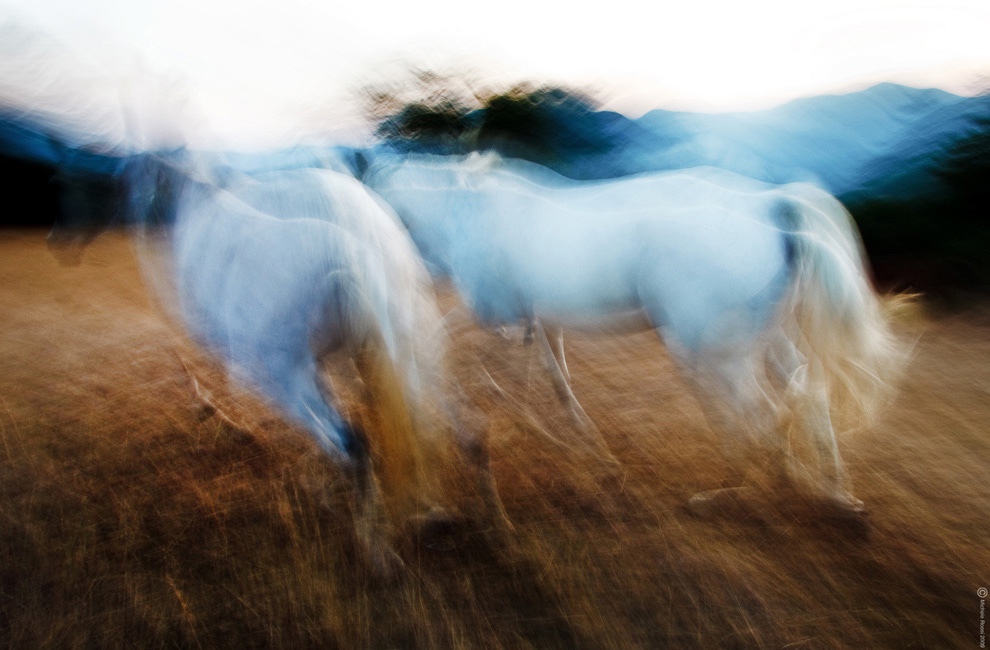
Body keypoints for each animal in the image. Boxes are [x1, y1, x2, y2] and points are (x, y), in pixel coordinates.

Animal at [358, 151, 913, 514]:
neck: (467, 214)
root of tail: (773, 205)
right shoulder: (538, 322)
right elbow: (558, 385)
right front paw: (599, 460)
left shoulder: (496, 315)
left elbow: (448, 342)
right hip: (765, 341)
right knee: (806, 391)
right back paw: (835, 493)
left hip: (711, 351)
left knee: (762, 413)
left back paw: (732, 492)